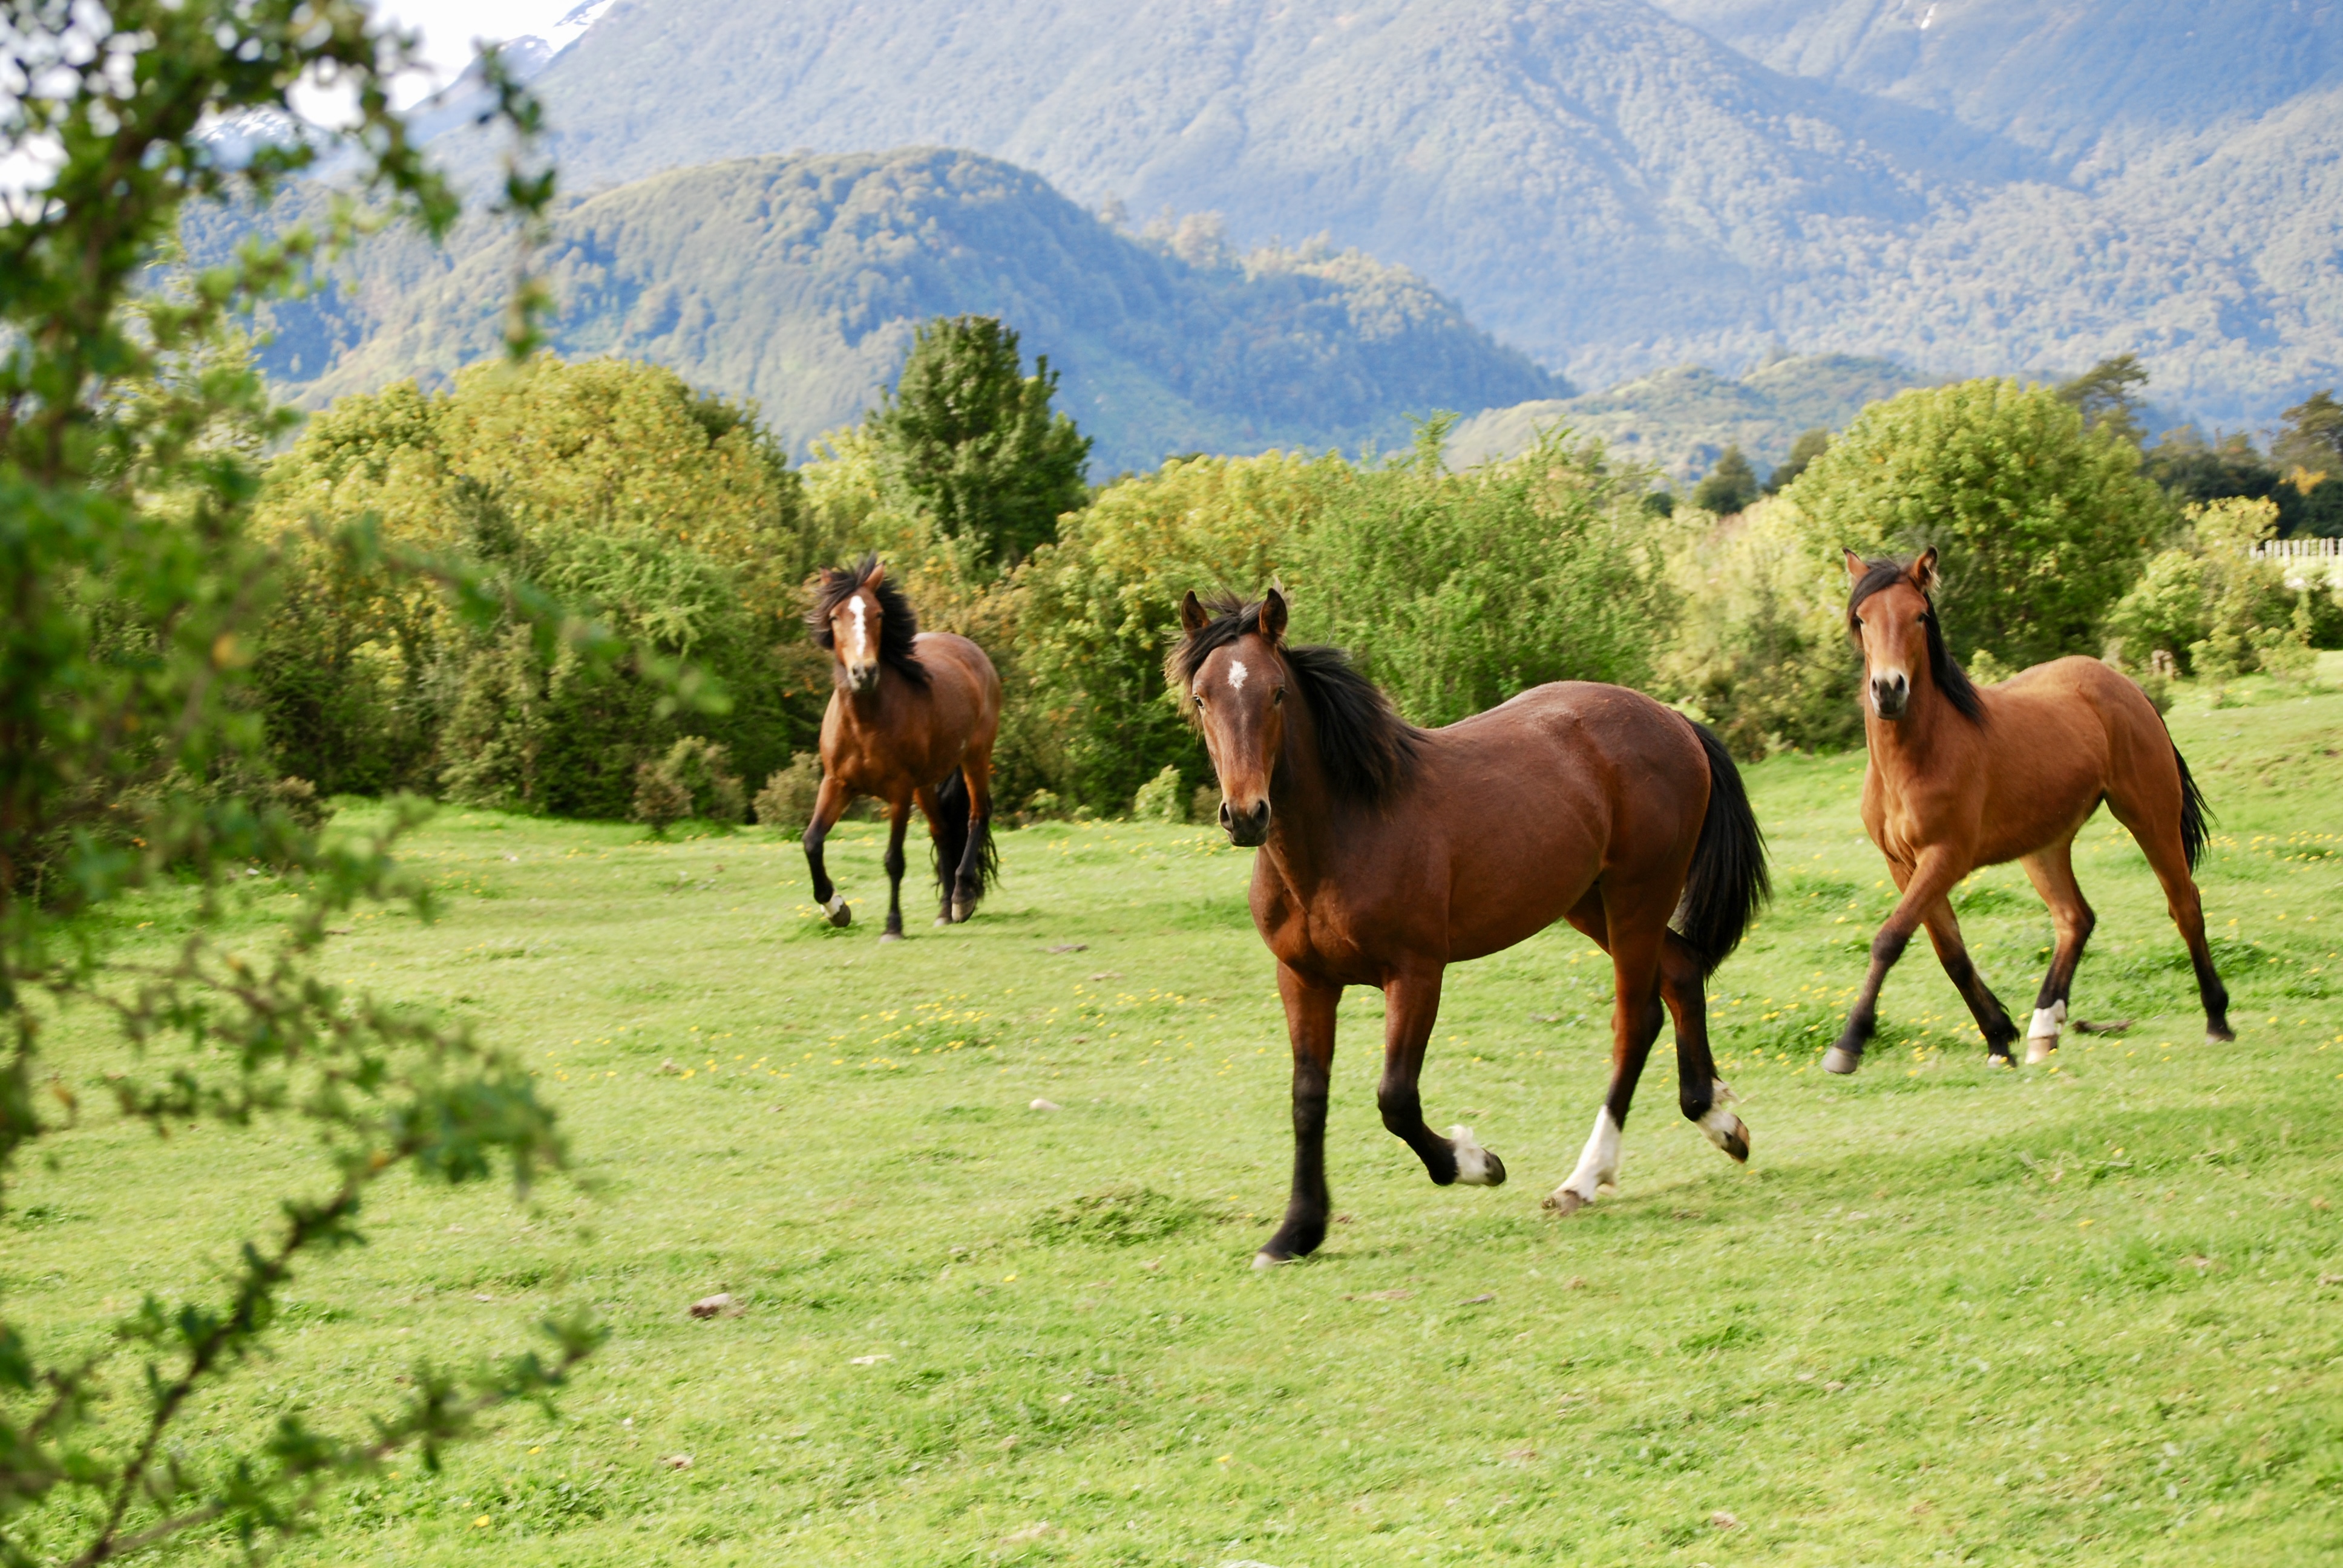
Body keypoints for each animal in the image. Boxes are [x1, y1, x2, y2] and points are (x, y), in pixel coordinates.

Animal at [802, 555, 1001, 939]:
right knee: (942, 831)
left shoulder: (898, 792)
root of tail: (973, 652)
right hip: (925, 784)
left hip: (975, 757)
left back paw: (961, 898)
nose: (864, 673)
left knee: (977, 816)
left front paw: (893, 926)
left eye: (879, 614)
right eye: (835, 617)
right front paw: (836, 908)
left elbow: (894, 860)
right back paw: (944, 910)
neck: (865, 721)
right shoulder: (837, 784)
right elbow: (812, 842)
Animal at [1170, 589, 1771, 1267]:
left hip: (1636, 898)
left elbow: (1395, 1098)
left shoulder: (1415, 973)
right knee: (1681, 973)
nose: (1246, 814)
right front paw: (1296, 1231)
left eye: (1275, 693)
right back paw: (1718, 1122)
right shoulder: (1303, 979)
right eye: (1201, 696)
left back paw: (1584, 1178)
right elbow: (1307, 1099)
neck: (1343, 833)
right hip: (1590, 903)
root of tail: (1673, 719)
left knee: (1635, 1021)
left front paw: (1475, 1163)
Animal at [1824, 548, 2230, 1074]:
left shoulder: (1945, 858)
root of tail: (2125, 686)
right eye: (1862, 619)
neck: (1919, 756)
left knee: (2185, 905)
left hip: (2150, 816)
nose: (1889, 689)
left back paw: (2217, 1020)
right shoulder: (1904, 865)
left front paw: (1849, 1043)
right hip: (2045, 847)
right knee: (2075, 918)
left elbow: (1891, 938)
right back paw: (2044, 1029)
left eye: (1918, 616)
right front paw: (1999, 1037)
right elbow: (1950, 952)